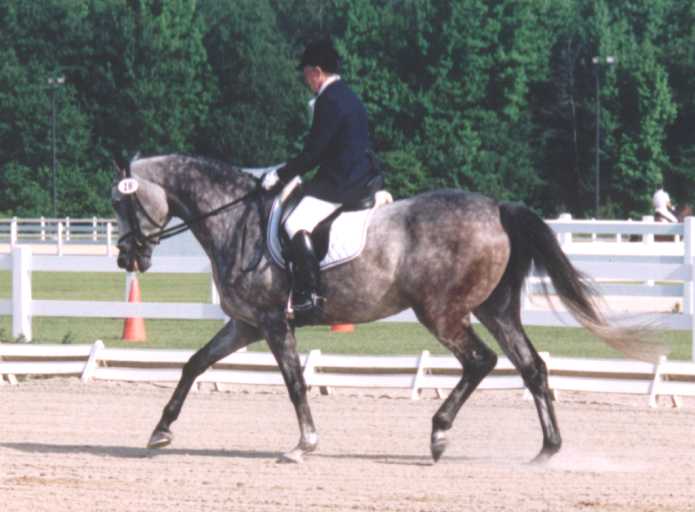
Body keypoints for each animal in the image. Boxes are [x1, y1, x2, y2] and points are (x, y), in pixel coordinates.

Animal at [110, 152, 664, 464]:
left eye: (123, 204)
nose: (126, 257)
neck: (235, 219)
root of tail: (497, 208)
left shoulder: (270, 322)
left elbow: (294, 382)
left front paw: (304, 443)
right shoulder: (245, 324)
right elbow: (194, 363)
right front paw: (160, 431)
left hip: (441, 313)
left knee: (480, 361)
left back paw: (440, 435)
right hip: (496, 310)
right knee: (532, 368)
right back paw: (547, 450)